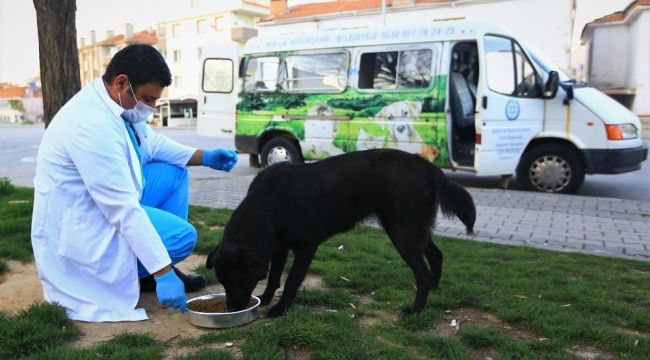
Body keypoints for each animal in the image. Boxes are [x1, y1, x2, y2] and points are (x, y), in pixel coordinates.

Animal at [208, 149, 476, 318]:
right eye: (224, 283)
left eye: (238, 280)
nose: (232, 310)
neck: (268, 204)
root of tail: (423, 164)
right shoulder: (279, 247)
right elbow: (274, 277)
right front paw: (264, 298)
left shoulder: (306, 247)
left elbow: (291, 281)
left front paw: (280, 309)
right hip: (411, 229)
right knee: (437, 256)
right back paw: (435, 291)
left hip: (402, 232)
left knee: (423, 274)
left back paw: (415, 310)